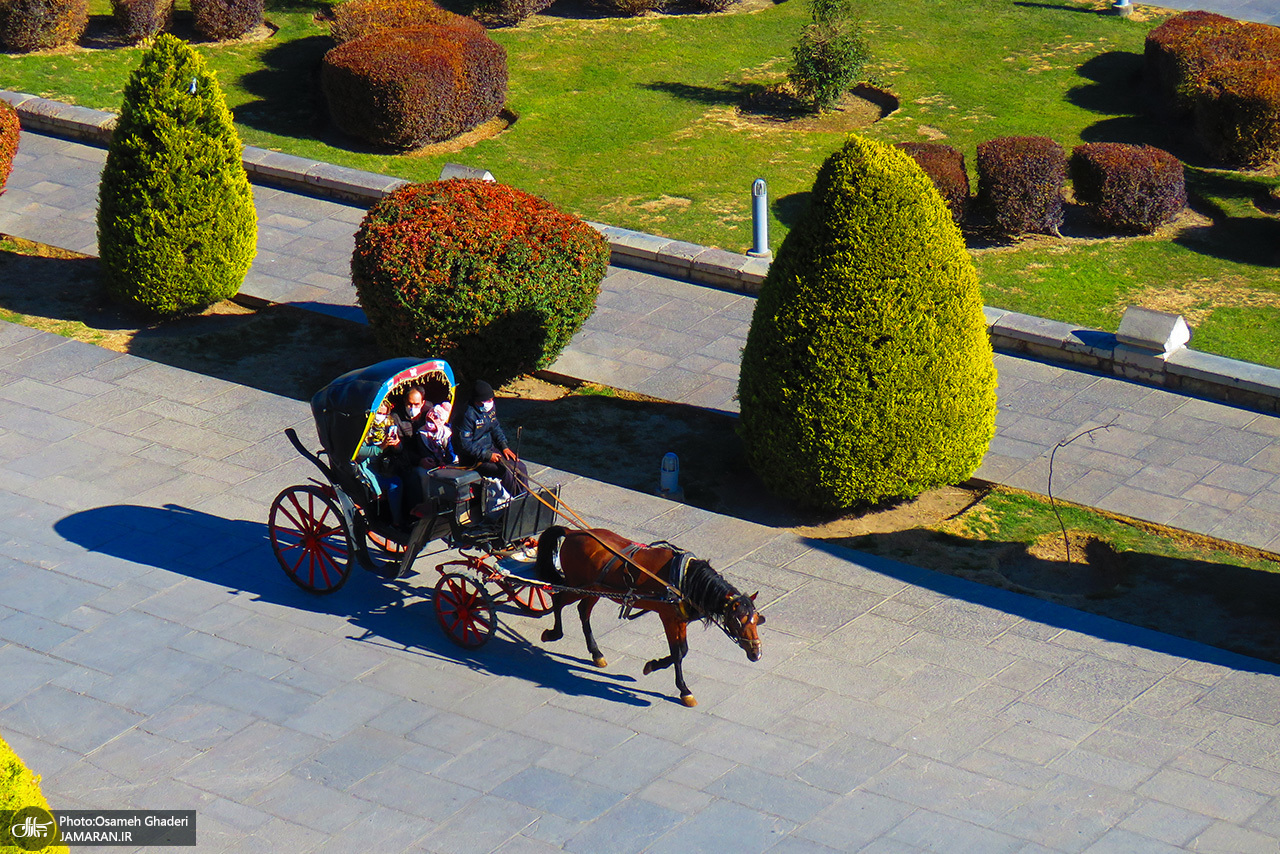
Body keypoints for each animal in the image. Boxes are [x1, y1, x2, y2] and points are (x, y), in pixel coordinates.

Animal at [535, 527, 762, 706]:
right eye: (737, 620)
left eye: (756, 620)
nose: (756, 653)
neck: (685, 579)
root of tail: (572, 532)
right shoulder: (667, 617)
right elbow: (678, 653)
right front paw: (683, 690)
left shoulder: (679, 619)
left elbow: (683, 650)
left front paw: (653, 666)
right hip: (578, 585)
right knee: (558, 599)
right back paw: (553, 633)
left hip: (594, 589)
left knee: (583, 611)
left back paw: (596, 653)